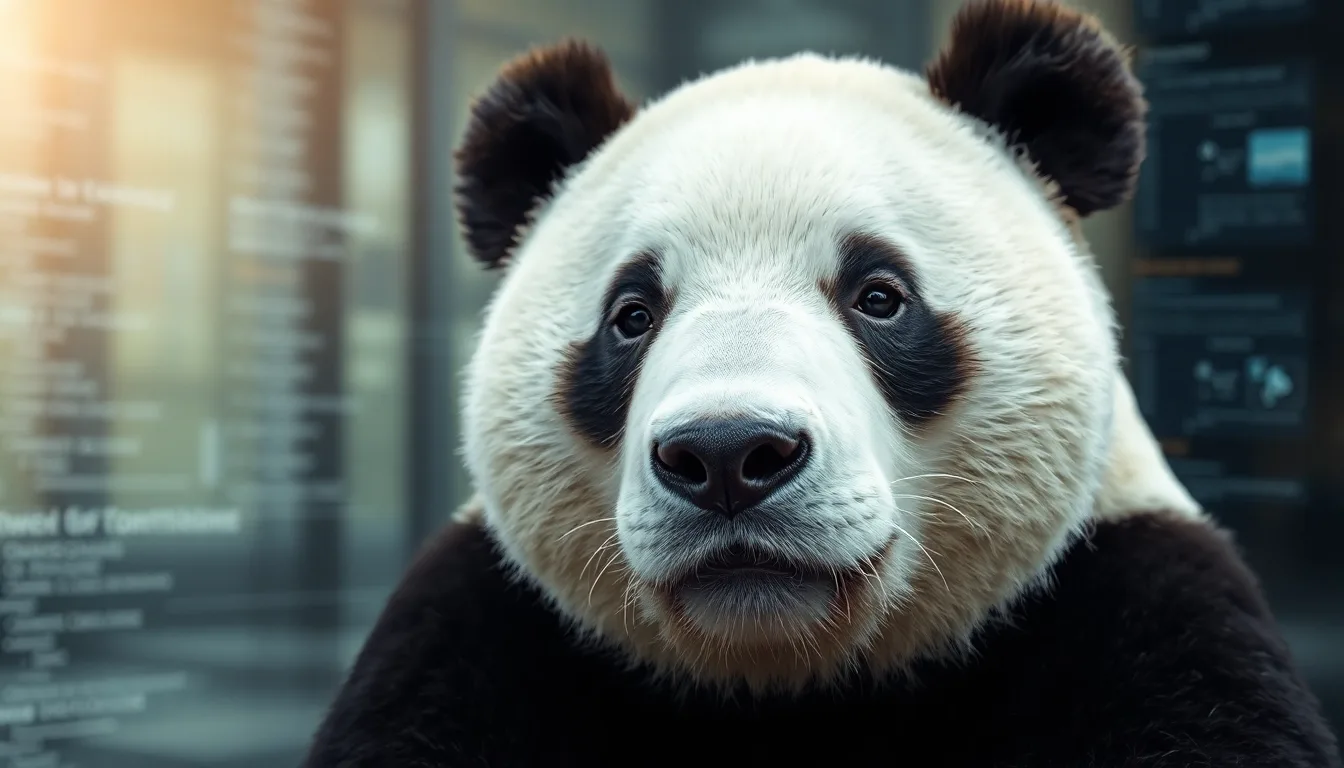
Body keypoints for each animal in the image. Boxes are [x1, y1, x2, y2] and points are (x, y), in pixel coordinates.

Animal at [305, 0, 1341, 765]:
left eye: (879, 296)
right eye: (632, 315)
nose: (728, 455)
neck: (791, 678)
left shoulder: (1135, 600)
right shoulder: (486, 629)